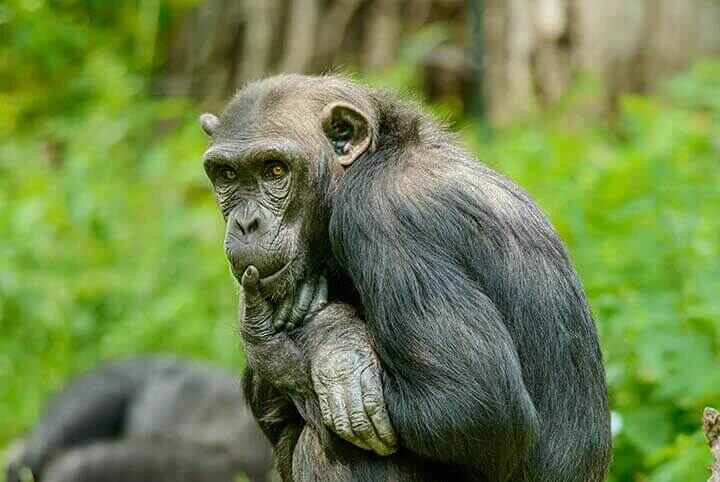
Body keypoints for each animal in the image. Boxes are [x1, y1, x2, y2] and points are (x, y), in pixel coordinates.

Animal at [198, 75, 612, 482]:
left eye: (275, 170)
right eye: (227, 175)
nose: (247, 223)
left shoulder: (382, 216)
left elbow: (472, 405)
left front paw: (322, 342)